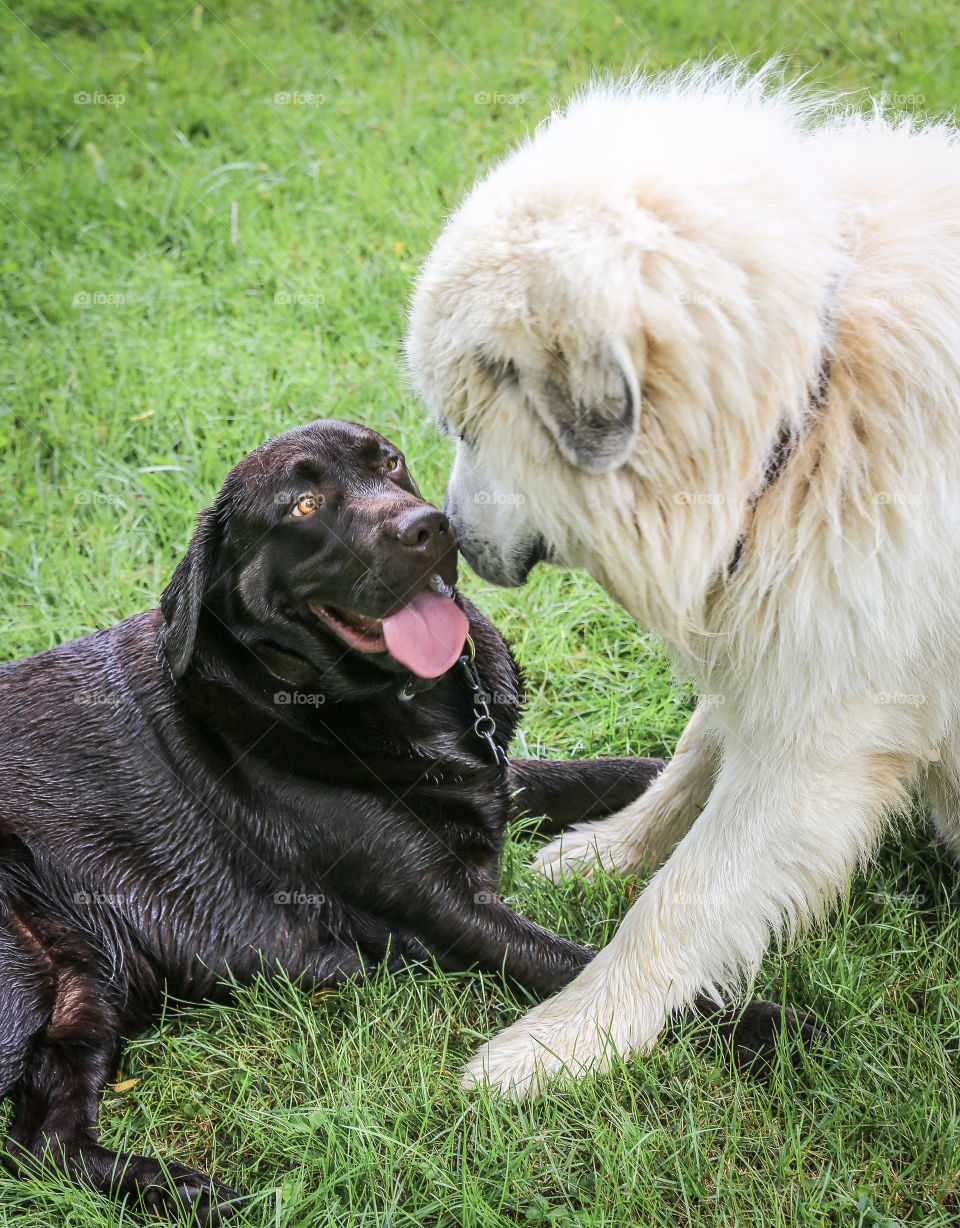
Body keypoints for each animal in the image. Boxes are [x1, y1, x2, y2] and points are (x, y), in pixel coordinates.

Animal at [1, 419, 820, 1218]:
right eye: (302, 506)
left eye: (390, 462)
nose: (429, 528)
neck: (404, 704)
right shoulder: (445, 910)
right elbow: (581, 964)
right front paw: (765, 1024)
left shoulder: (491, 783)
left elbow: (608, 773)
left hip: (86, 993)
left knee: (45, 1143)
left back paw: (181, 1191)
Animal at [402, 69, 960, 1095]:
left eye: (466, 425)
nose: (447, 536)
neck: (807, 403)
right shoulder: (779, 643)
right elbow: (694, 758)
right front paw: (606, 852)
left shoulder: (824, 732)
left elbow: (684, 901)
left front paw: (562, 1042)